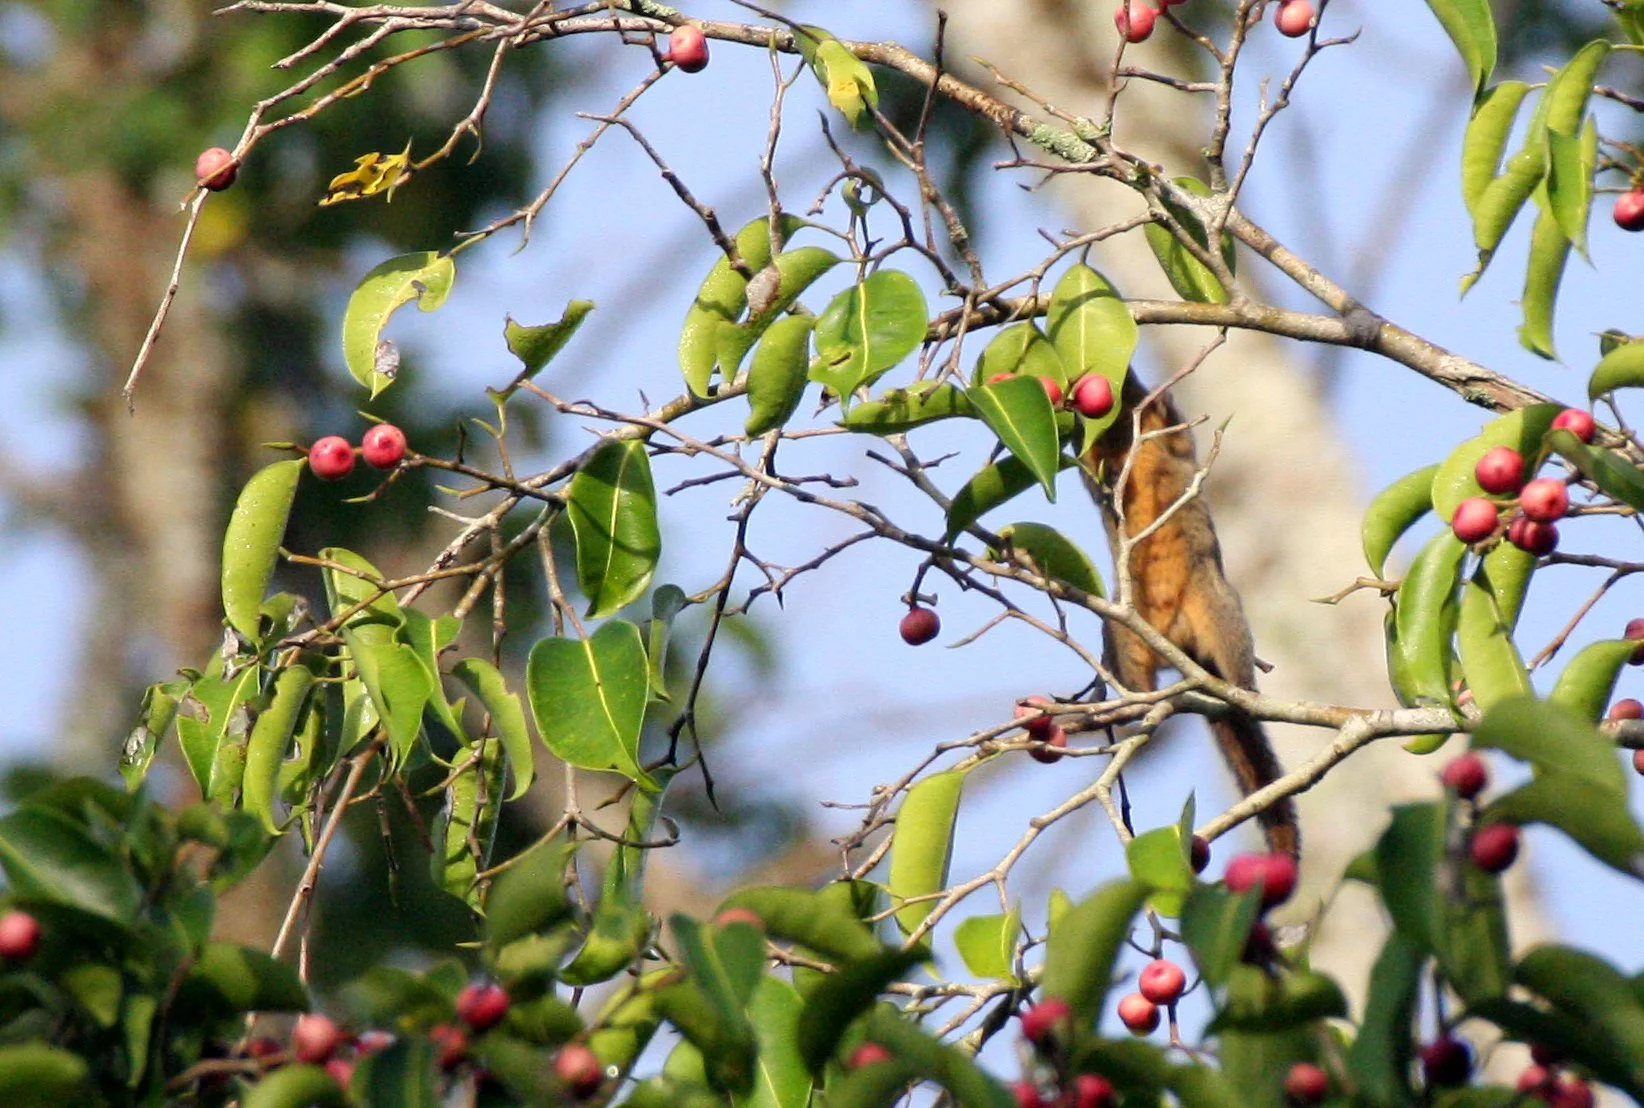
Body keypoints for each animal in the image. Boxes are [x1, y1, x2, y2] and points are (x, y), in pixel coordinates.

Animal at [1082, 371, 1299, 858]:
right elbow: (1091, 467)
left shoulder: (1169, 437)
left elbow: (1175, 433)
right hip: (1123, 628)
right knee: (1131, 664)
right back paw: (1127, 706)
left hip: (1214, 600)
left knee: (1231, 642)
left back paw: (1242, 689)